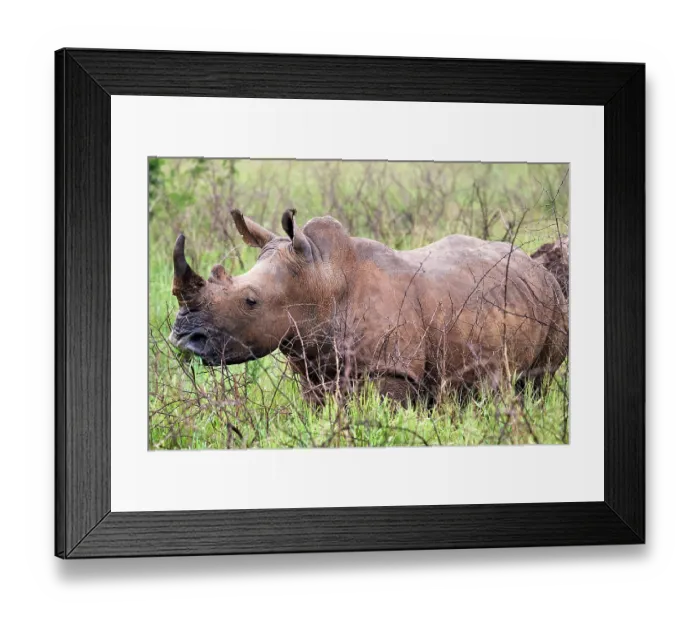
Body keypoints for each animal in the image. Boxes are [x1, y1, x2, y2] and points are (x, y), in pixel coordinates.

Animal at [169, 210, 568, 406]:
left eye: (250, 301)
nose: (184, 339)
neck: (322, 282)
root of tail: (537, 266)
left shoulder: (392, 369)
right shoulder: (315, 371)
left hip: (553, 303)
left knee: (538, 381)